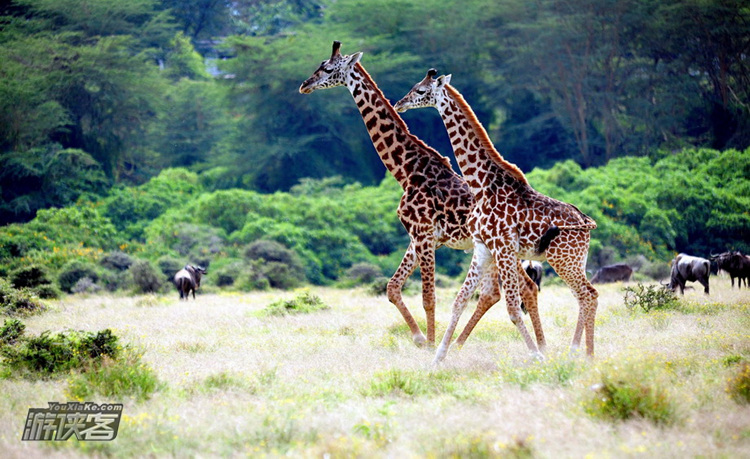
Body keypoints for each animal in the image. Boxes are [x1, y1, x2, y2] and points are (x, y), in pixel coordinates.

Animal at [300, 44, 548, 352]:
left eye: (328, 69)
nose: (304, 85)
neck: (405, 170)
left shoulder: (423, 234)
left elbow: (428, 297)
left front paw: (428, 344)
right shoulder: (418, 237)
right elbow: (392, 287)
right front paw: (421, 339)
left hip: (502, 249)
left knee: (523, 287)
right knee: (498, 293)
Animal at [396, 69, 604, 362]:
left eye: (421, 91)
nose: (400, 103)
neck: (482, 183)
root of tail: (587, 222)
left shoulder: (503, 245)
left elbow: (513, 309)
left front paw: (537, 356)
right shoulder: (483, 246)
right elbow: (459, 301)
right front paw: (437, 359)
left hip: (564, 259)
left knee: (588, 294)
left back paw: (581, 354)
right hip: (574, 260)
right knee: (586, 295)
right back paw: (583, 354)